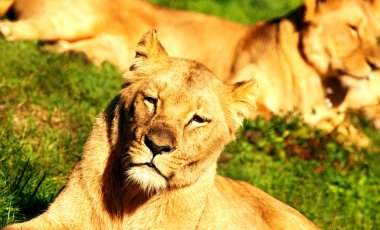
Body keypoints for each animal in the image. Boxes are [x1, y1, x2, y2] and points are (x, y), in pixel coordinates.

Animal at [1, 0, 378, 146]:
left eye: (376, 32)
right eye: (353, 28)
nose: (376, 65)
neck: (323, 81)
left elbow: (356, 137)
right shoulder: (238, 88)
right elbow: (281, 118)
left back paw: (81, 57)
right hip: (72, 20)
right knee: (10, 32)